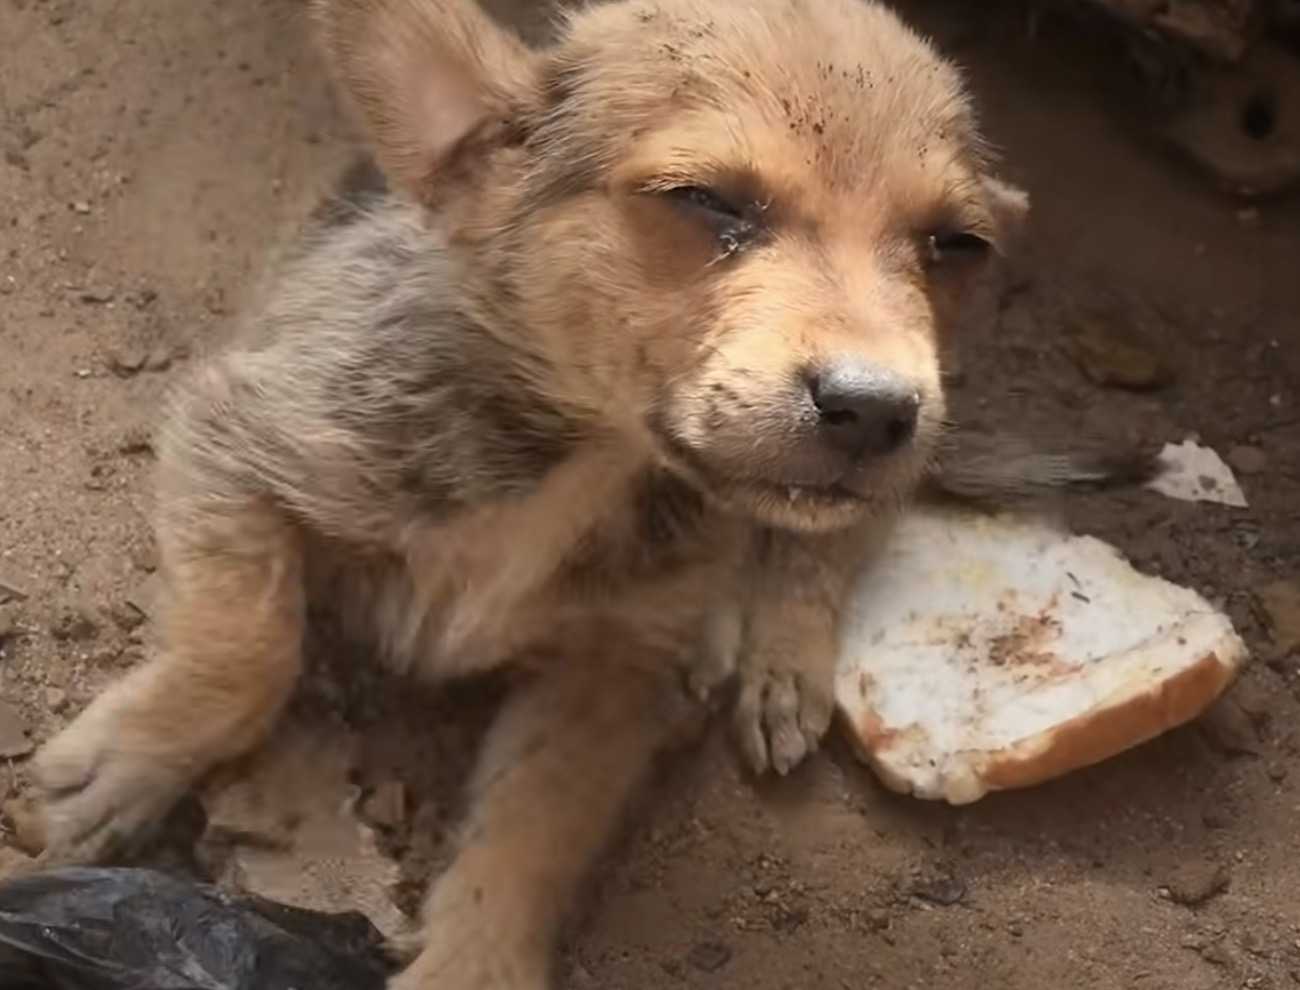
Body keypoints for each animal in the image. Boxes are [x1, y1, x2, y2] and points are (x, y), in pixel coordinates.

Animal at [30, 0, 1149, 982]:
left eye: (955, 247)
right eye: (706, 202)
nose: (878, 411)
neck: (589, 454)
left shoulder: (617, 667)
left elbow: (536, 827)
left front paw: (475, 963)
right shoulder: (241, 439)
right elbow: (243, 646)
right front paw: (132, 755)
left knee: (830, 537)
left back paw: (776, 656)